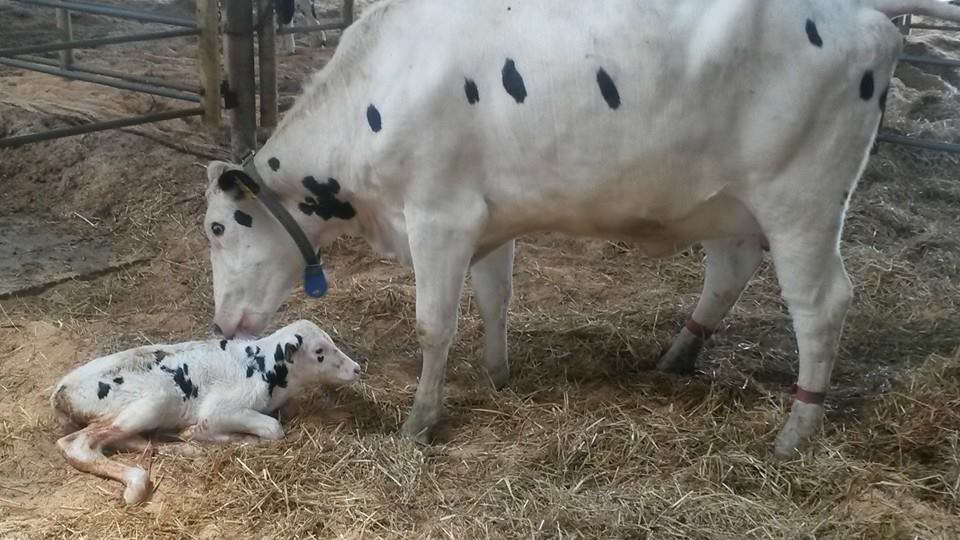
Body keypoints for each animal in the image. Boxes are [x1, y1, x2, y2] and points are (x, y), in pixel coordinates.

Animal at [47, 318, 360, 504]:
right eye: (319, 352)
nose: (356, 368)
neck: (264, 369)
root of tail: (60, 390)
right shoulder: (218, 410)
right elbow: (273, 428)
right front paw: (237, 439)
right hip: (151, 402)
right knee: (77, 444)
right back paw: (138, 482)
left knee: (128, 441)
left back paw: (181, 447)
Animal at [199, 0, 960, 460]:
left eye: (217, 228)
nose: (223, 325)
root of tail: (873, 17)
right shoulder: (486, 215)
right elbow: (496, 299)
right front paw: (499, 375)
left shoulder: (439, 214)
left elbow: (433, 326)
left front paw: (420, 420)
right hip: (735, 202)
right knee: (730, 270)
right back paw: (679, 354)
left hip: (802, 201)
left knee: (821, 306)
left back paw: (797, 429)